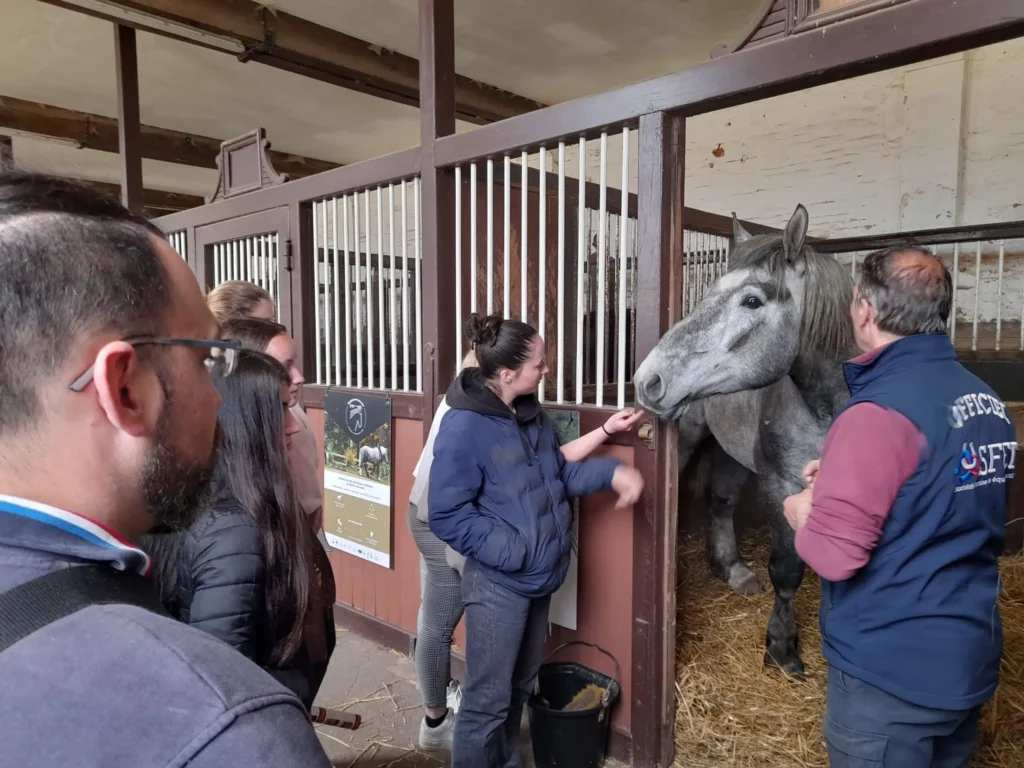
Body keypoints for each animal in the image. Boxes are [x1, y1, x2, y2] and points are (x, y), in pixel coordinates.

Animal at [630, 205, 856, 679]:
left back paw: (732, 569)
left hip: (731, 452)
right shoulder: (779, 485)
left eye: (752, 300)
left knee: (722, 502)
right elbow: (786, 571)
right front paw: (782, 650)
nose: (648, 380)